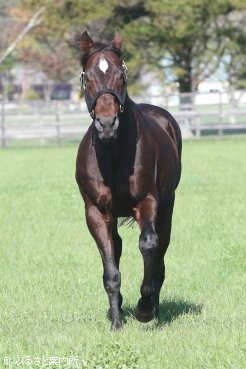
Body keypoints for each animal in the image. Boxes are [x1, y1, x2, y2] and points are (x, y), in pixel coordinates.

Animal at [76, 31, 182, 330]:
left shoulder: (147, 202)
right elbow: (111, 268)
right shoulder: (96, 212)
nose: (106, 124)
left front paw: (144, 309)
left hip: (167, 208)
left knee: (160, 250)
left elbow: (149, 245)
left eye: (120, 76)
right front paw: (115, 322)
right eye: (87, 76)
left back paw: (154, 309)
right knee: (118, 246)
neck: (112, 153)